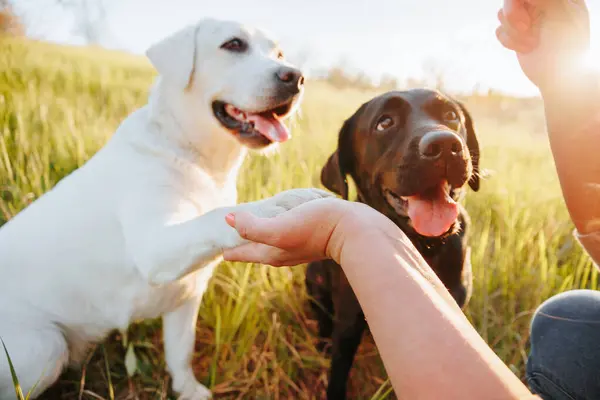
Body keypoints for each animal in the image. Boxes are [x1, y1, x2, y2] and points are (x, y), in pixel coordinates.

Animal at [0, 17, 328, 398]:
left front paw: (188, 389)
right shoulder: (156, 249)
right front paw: (283, 202)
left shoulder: (186, 294)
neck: (194, 156)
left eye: (279, 54)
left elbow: (180, 351)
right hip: (45, 346)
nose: (296, 77)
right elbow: (214, 218)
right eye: (233, 44)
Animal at [308, 89, 480, 398]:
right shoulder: (349, 322)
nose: (445, 144)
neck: (421, 246)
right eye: (385, 122)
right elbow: (338, 372)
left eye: (451, 115)